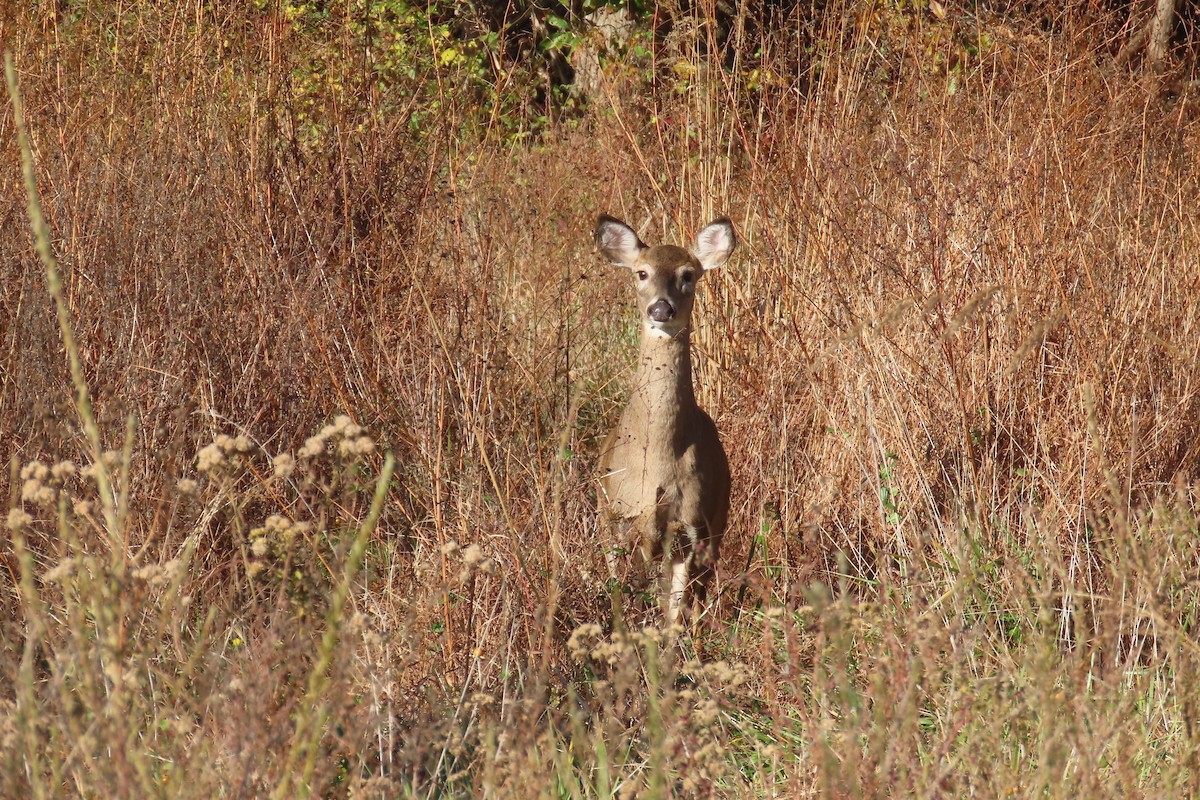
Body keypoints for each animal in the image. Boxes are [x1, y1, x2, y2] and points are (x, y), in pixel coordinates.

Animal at [594, 213, 735, 628]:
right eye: (641, 272)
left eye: (688, 274)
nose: (661, 309)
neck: (657, 460)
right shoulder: (618, 517)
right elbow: (620, 599)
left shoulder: (691, 525)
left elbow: (674, 612)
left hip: (717, 523)